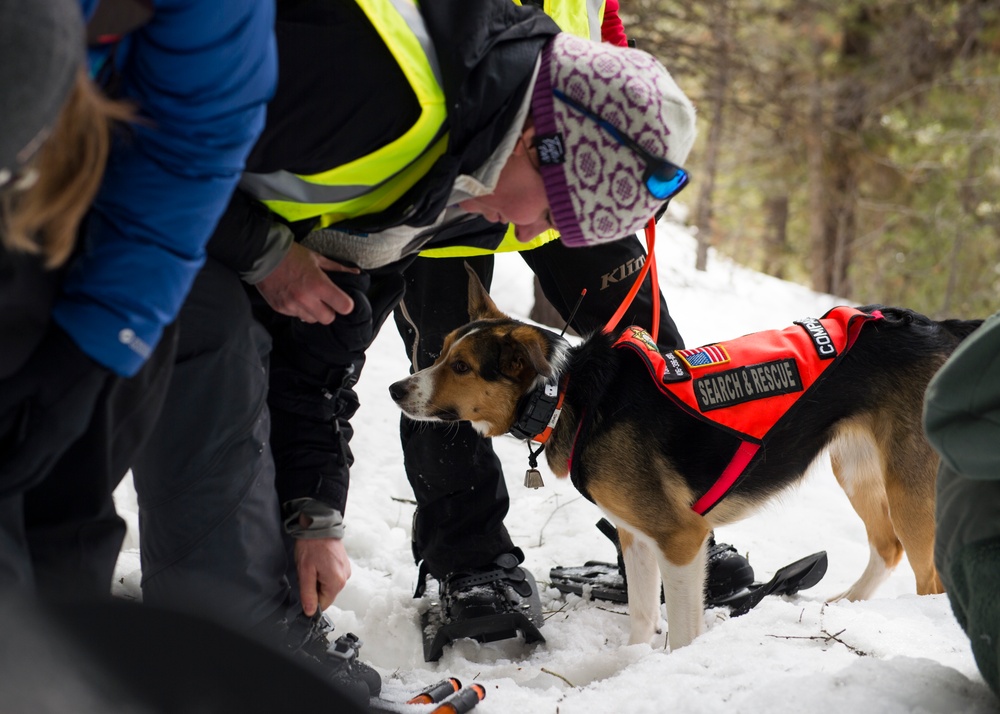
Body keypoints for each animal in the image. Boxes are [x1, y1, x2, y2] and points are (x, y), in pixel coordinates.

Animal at [390, 262, 984, 652]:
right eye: (440, 351)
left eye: (462, 367)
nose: (396, 388)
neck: (571, 395)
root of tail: (943, 330)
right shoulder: (635, 535)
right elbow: (640, 615)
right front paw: (630, 667)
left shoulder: (680, 539)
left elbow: (680, 627)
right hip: (855, 466)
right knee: (886, 548)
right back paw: (842, 606)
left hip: (908, 484)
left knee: (927, 574)